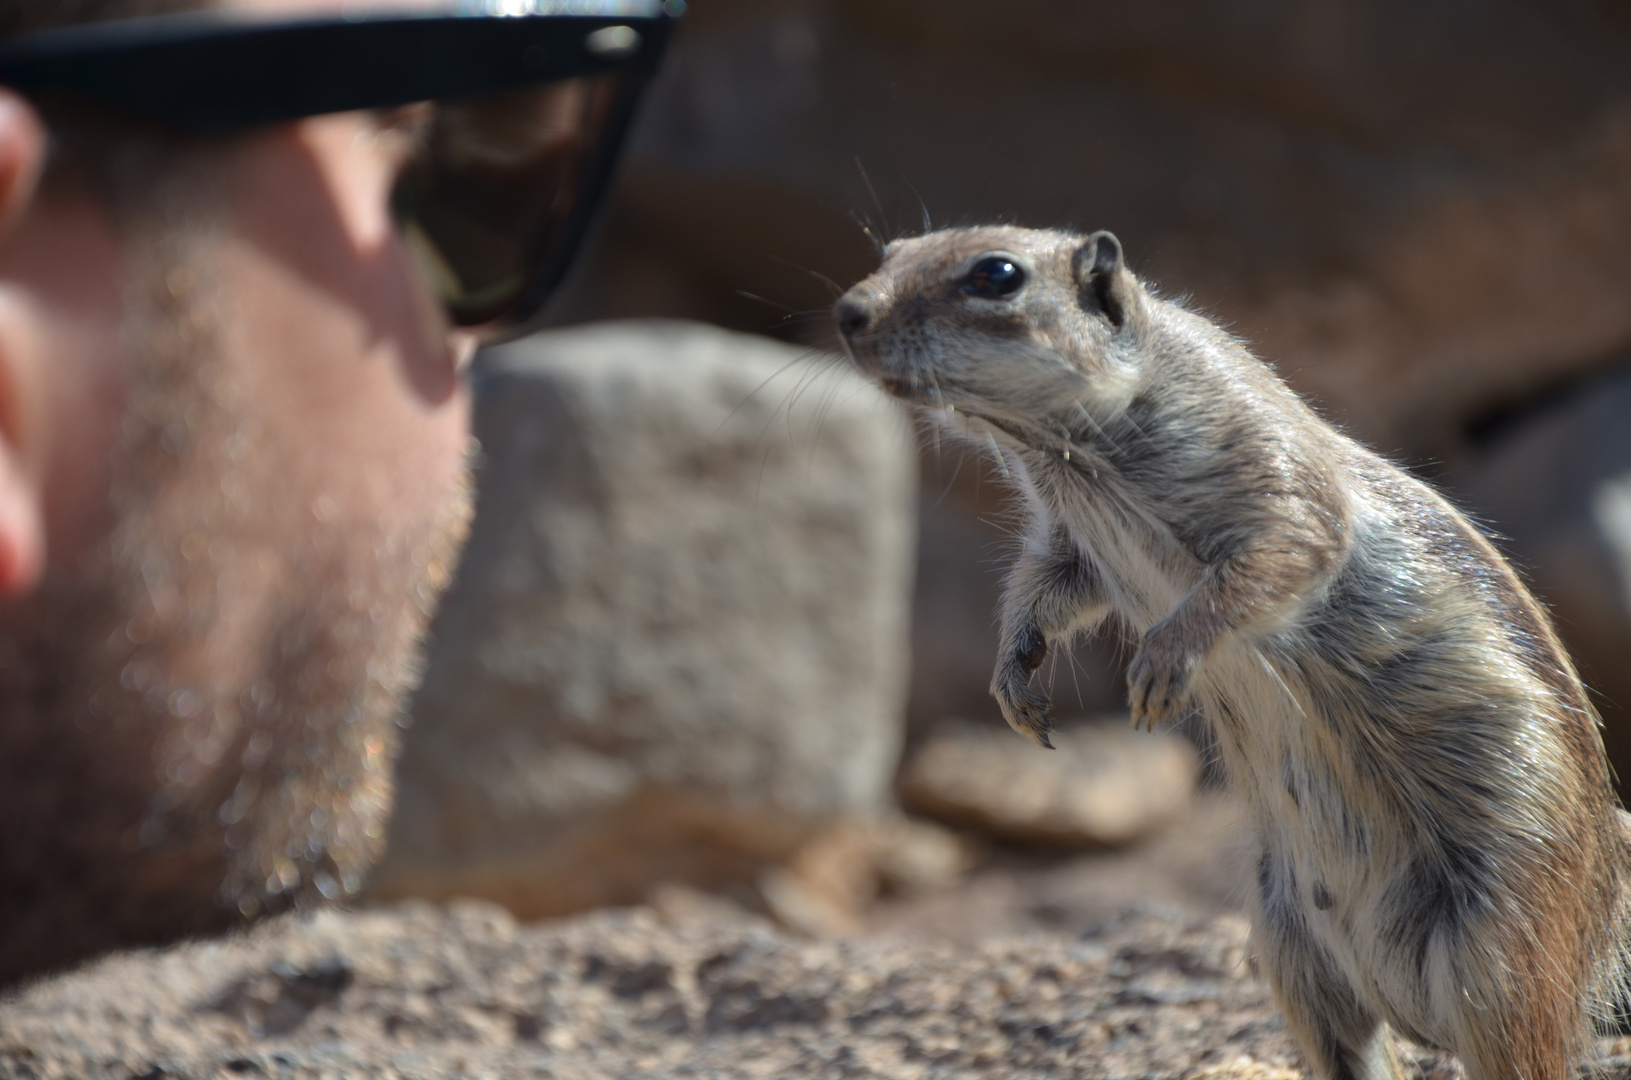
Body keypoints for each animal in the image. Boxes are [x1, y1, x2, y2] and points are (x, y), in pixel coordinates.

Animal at [841, 223, 1631, 1076]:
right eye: (890, 251)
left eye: (996, 275)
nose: (849, 313)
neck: (1065, 456)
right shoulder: (1069, 542)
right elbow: (1044, 587)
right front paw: (1012, 679)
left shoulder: (1265, 469)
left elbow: (1276, 555)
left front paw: (1162, 662)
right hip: (1289, 943)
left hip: (1503, 950)